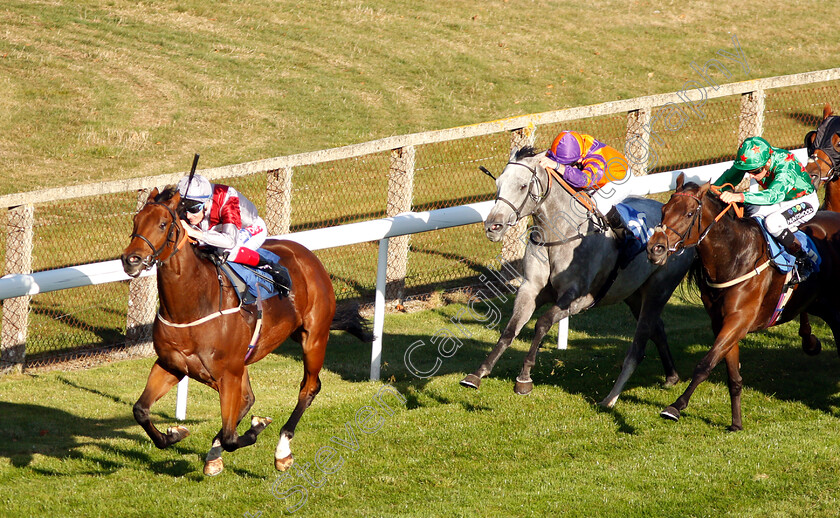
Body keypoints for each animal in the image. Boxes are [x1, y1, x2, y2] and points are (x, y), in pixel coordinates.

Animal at [122, 187, 368, 480]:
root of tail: (305, 254)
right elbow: (140, 410)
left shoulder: (228, 372)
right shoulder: (173, 365)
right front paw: (174, 433)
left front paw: (257, 427)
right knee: (248, 399)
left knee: (309, 388)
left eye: (162, 224)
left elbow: (232, 437)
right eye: (135, 221)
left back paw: (282, 451)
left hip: (314, 337)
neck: (192, 305)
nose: (131, 260)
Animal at [460, 145, 696, 406]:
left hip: (659, 289)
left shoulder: (577, 299)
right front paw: (478, 373)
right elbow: (510, 330)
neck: (557, 234)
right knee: (658, 327)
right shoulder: (530, 289)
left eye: (522, 186)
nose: (493, 226)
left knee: (647, 331)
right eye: (498, 183)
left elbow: (542, 323)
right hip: (633, 293)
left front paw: (524, 378)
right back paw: (671, 376)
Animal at [648, 175, 840, 430]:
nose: (655, 248)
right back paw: (809, 341)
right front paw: (736, 422)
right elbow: (733, 375)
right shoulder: (722, 322)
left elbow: (705, 365)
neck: (734, 257)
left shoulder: (739, 320)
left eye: (689, 214)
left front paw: (675, 406)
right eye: (663, 210)